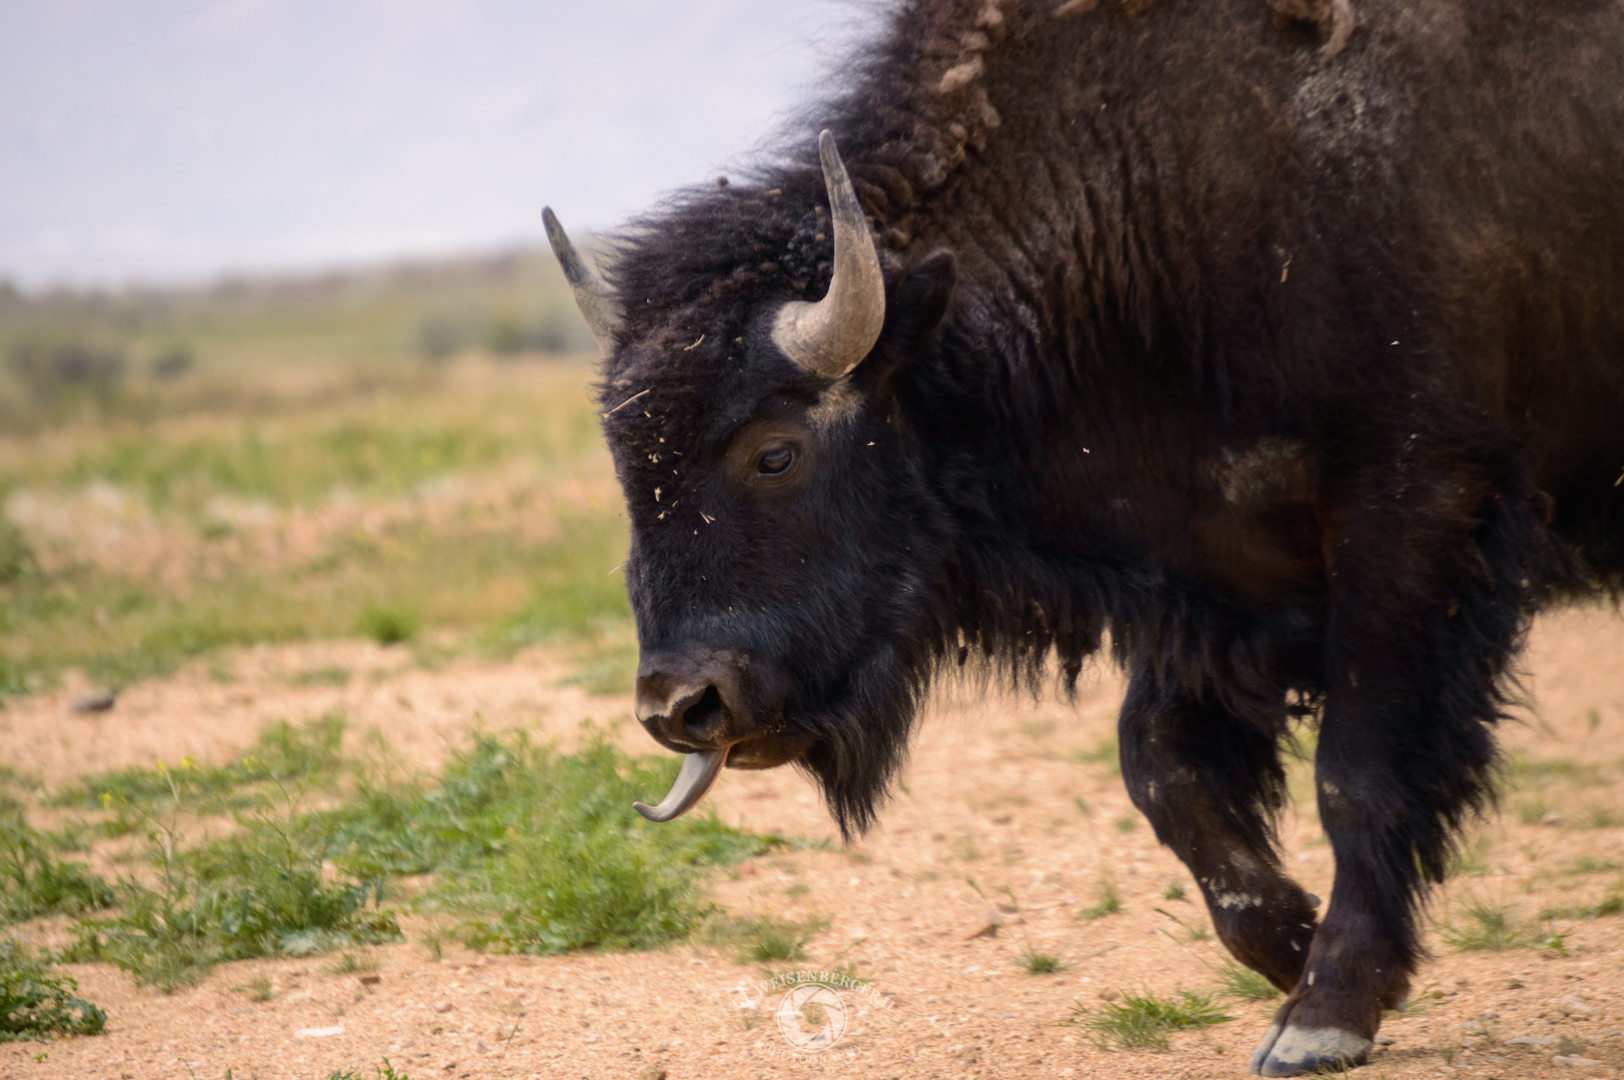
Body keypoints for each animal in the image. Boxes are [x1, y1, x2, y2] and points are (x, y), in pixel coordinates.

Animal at [542, 0, 1624, 1074]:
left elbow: (1357, 773)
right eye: (623, 455)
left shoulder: (1412, 516)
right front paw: (1288, 940)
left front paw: (1323, 1012)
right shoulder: (1214, 587)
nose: (679, 706)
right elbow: (1160, 770)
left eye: (774, 451)